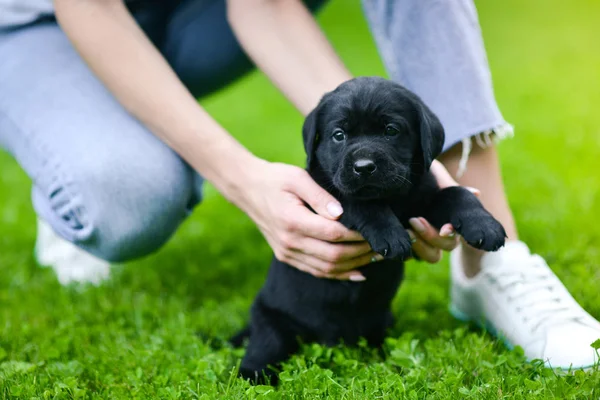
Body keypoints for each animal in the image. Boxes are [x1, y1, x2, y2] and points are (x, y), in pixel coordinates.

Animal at [232, 76, 504, 384]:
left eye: (391, 130)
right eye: (339, 135)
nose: (364, 167)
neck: (392, 199)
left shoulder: (424, 199)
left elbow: (457, 194)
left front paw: (485, 225)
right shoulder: (322, 198)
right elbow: (358, 202)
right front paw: (391, 235)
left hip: (381, 320)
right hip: (271, 321)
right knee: (264, 346)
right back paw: (254, 375)